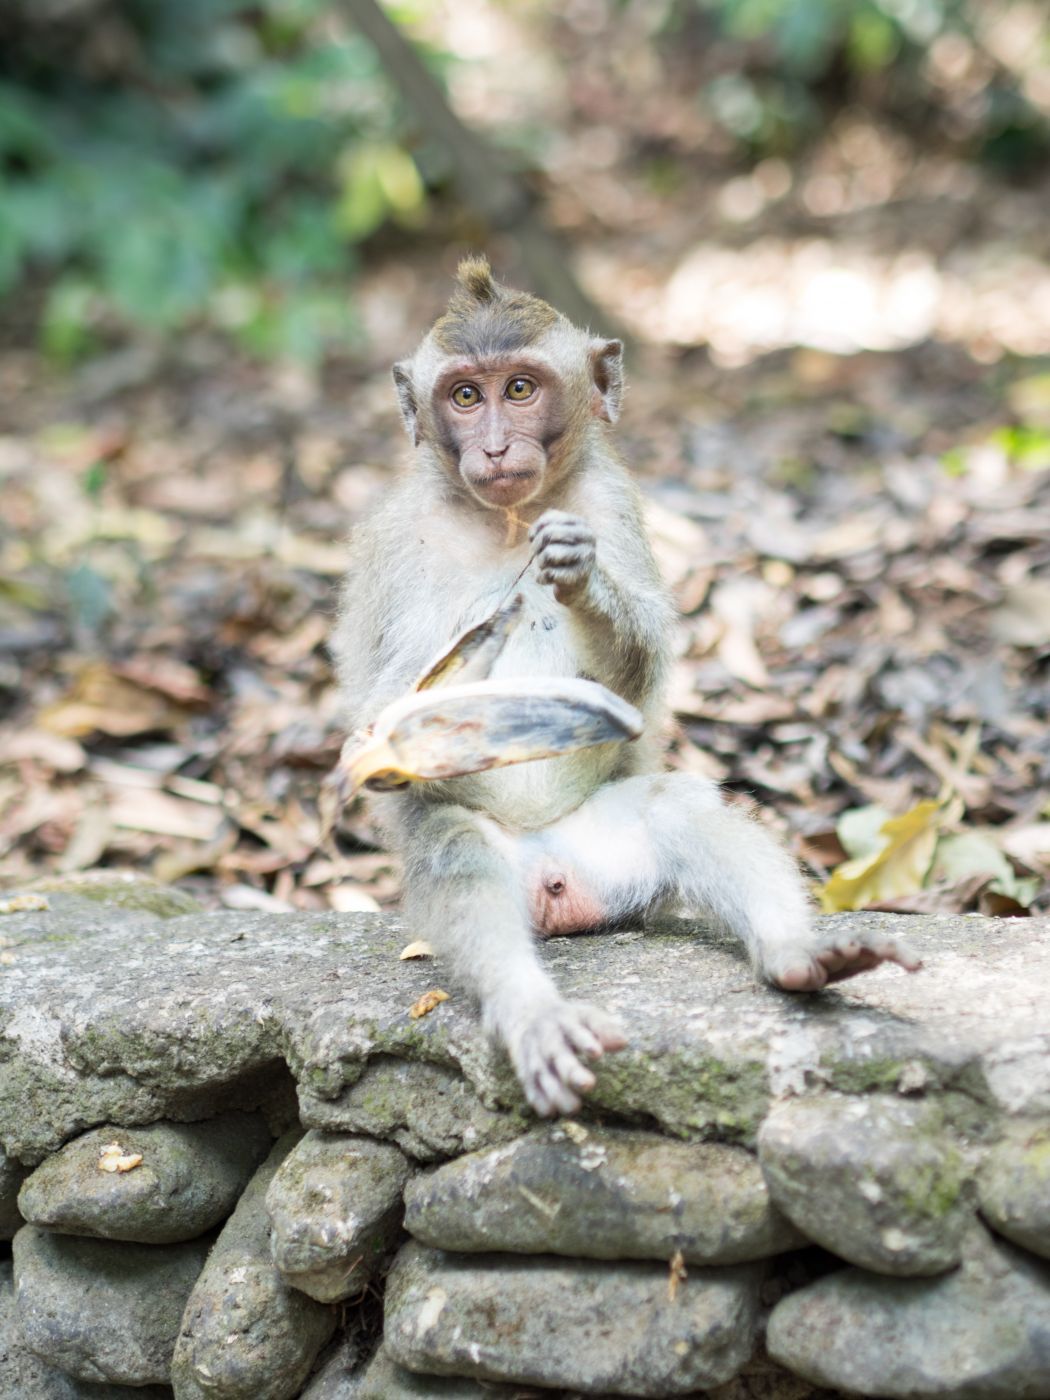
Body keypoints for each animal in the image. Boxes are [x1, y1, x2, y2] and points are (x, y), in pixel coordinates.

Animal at [331, 257, 920, 1117]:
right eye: (465, 397)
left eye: (519, 389)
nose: (496, 445)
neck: (508, 520)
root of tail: (554, 880)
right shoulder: (396, 545)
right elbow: (382, 712)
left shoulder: (610, 504)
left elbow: (640, 662)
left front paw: (583, 580)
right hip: (494, 859)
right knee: (455, 855)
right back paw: (533, 1010)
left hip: (613, 855)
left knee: (674, 808)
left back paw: (797, 954)